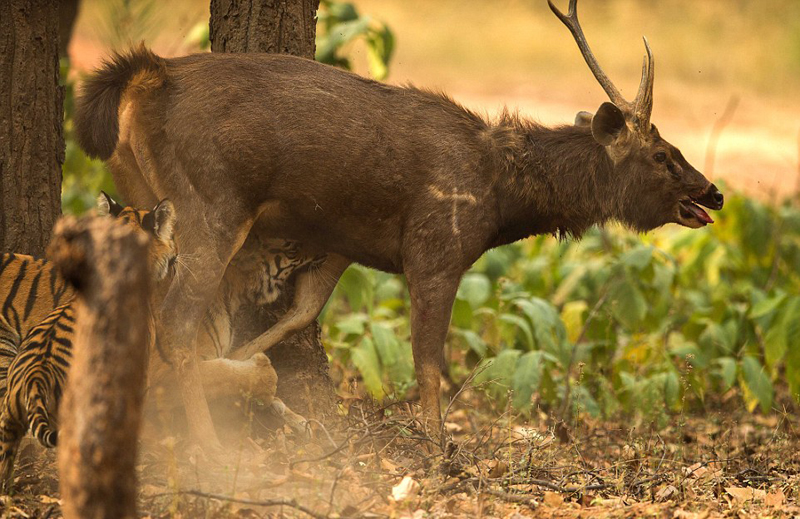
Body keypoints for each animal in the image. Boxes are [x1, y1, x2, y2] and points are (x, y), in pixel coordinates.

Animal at [73, 0, 723, 452]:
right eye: (662, 154)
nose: (713, 191)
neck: (499, 197)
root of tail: (150, 75)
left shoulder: (342, 242)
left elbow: (297, 315)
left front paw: (266, 386)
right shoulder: (437, 247)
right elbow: (428, 361)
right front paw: (438, 448)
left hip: (143, 192)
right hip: (212, 201)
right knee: (176, 322)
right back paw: (207, 446)